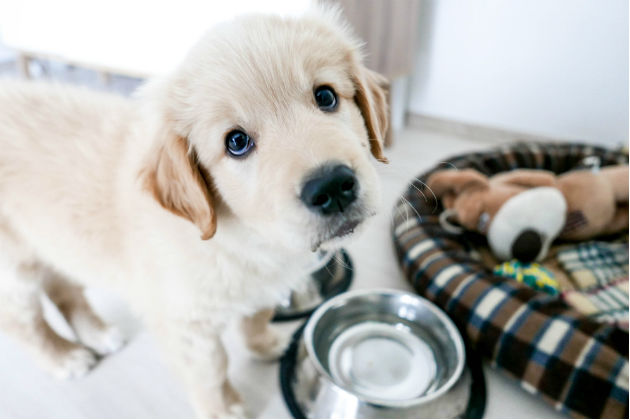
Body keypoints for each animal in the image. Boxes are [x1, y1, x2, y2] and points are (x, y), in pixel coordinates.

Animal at [0, 5, 390, 416]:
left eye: (326, 96)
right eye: (236, 142)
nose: (331, 187)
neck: (247, 237)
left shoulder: (263, 284)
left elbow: (256, 315)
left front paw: (264, 343)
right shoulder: (187, 325)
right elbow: (211, 370)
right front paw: (222, 409)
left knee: (64, 288)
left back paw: (99, 334)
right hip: (15, 269)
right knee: (22, 321)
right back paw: (65, 357)